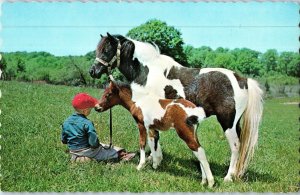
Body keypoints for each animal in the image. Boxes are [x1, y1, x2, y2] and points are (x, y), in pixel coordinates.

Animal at [90, 33, 264, 181]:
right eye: (98, 49)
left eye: (106, 50)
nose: (93, 71)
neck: (148, 71)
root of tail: (242, 80)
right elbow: (155, 136)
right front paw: (154, 159)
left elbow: (154, 138)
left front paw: (153, 161)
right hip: (235, 123)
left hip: (227, 122)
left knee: (235, 146)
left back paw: (228, 177)